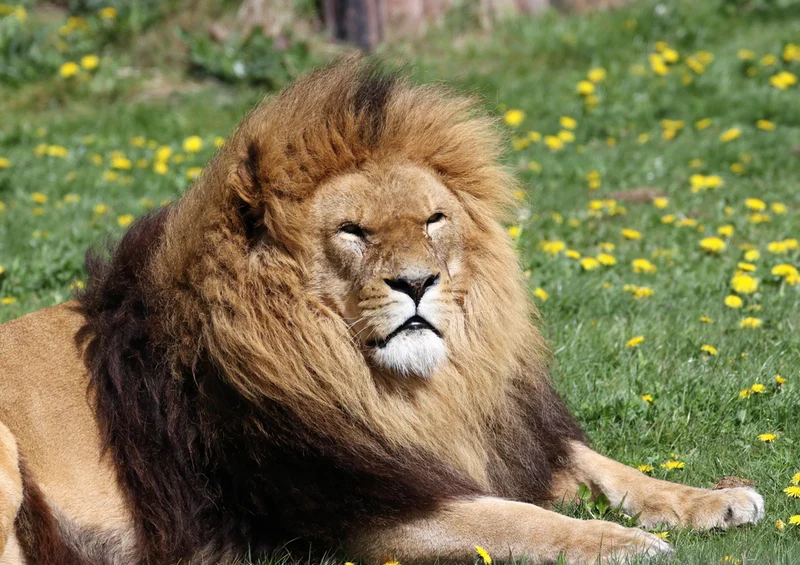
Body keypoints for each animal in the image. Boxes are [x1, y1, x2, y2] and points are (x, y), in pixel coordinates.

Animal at [0, 59, 764, 564]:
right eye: (353, 232)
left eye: (432, 220)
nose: (417, 283)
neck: (405, 392)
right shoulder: (361, 505)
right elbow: (517, 519)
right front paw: (623, 540)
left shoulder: (492, 434)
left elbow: (603, 464)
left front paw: (713, 499)